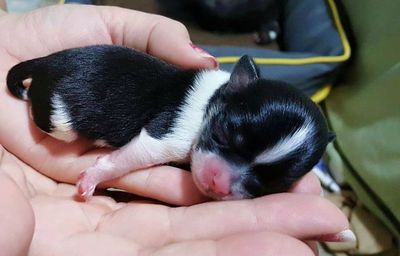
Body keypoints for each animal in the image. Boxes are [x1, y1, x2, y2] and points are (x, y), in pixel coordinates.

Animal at [7, 45, 334, 201]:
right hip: (59, 122)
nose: (218, 183)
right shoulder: (163, 138)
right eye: (221, 135)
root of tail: (48, 61)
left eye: (265, 184)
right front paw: (93, 178)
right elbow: (128, 157)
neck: (214, 98)